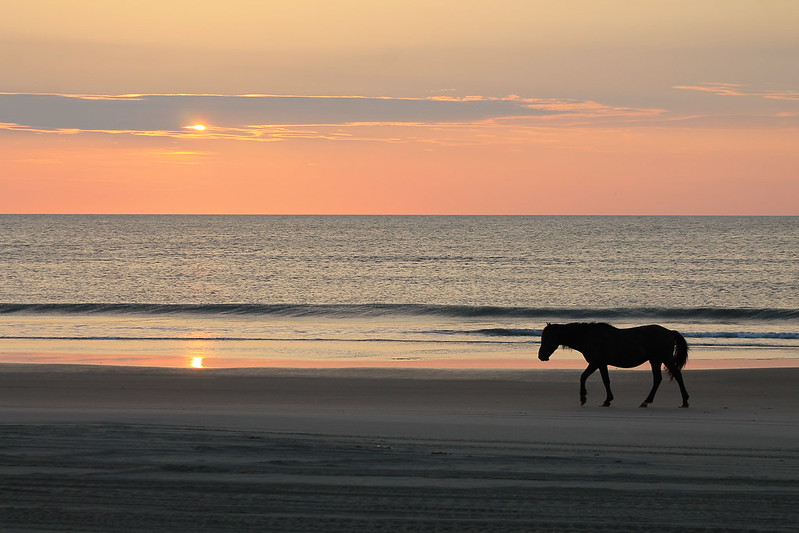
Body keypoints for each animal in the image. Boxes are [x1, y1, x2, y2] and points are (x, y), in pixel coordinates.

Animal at [540, 320, 692, 408]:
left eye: (548, 338)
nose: (541, 356)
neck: (589, 336)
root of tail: (669, 332)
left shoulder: (596, 362)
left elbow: (583, 377)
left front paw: (584, 397)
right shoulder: (601, 364)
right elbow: (605, 380)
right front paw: (607, 400)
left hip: (664, 358)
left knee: (677, 375)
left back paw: (684, 401)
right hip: (655, 360)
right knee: (658, 379)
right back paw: (646, 401)